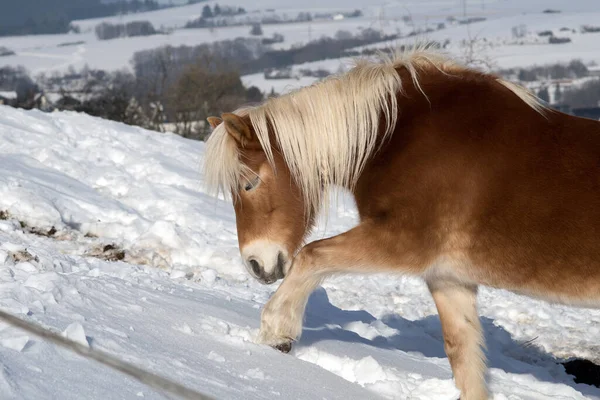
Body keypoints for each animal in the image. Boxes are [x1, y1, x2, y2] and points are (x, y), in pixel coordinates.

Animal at [203, 47, 600, 400]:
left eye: (249, 183)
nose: (256, 264)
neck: (396, 138)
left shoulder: (402, 243)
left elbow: (311, 256)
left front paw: (277, 333)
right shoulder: (448, 279)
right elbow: (463, 359)